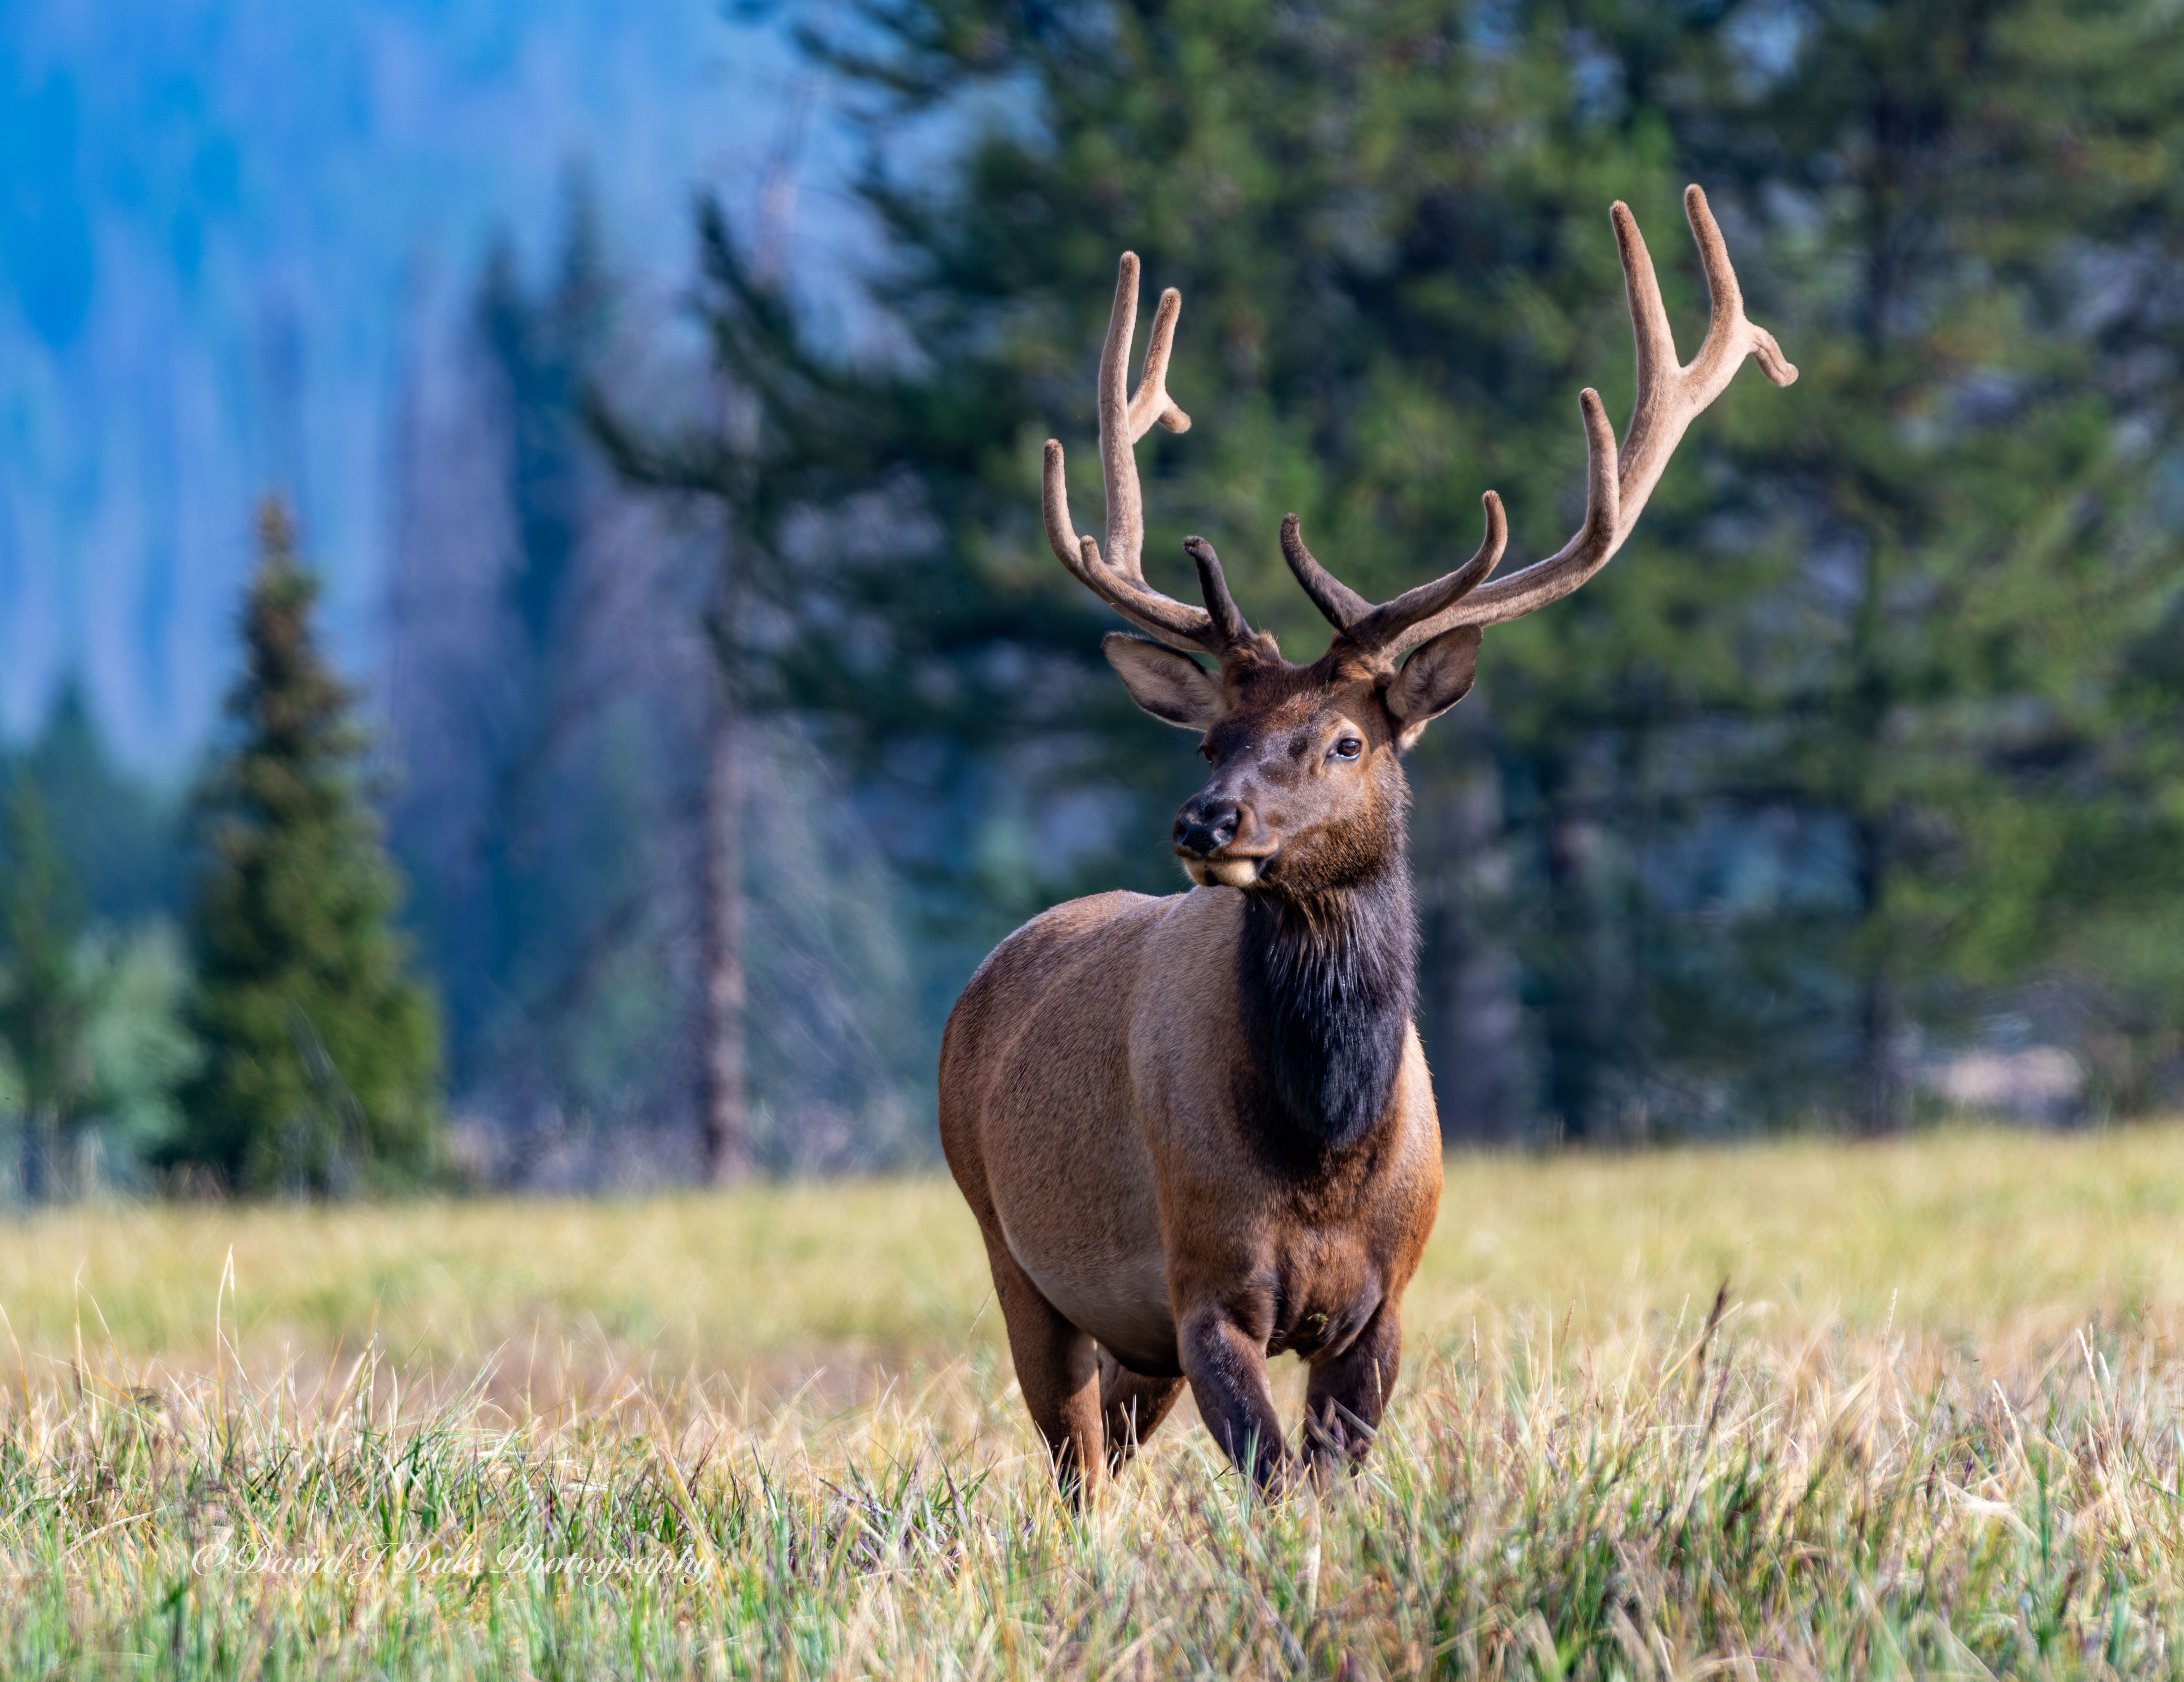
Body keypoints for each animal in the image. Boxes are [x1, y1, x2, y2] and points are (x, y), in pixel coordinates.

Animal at [939, 186, 1796, 1502]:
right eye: (1212, 738)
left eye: (1344, 739)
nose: (1205, 821)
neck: (1326, 1148)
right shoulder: (1206, 1287)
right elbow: (1271, 1482)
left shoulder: (1382, 1303)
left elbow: (1330, 1482)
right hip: (1012, 1248)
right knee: (1073, 1463)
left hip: (1126, 1328)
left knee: (1108, 1450)